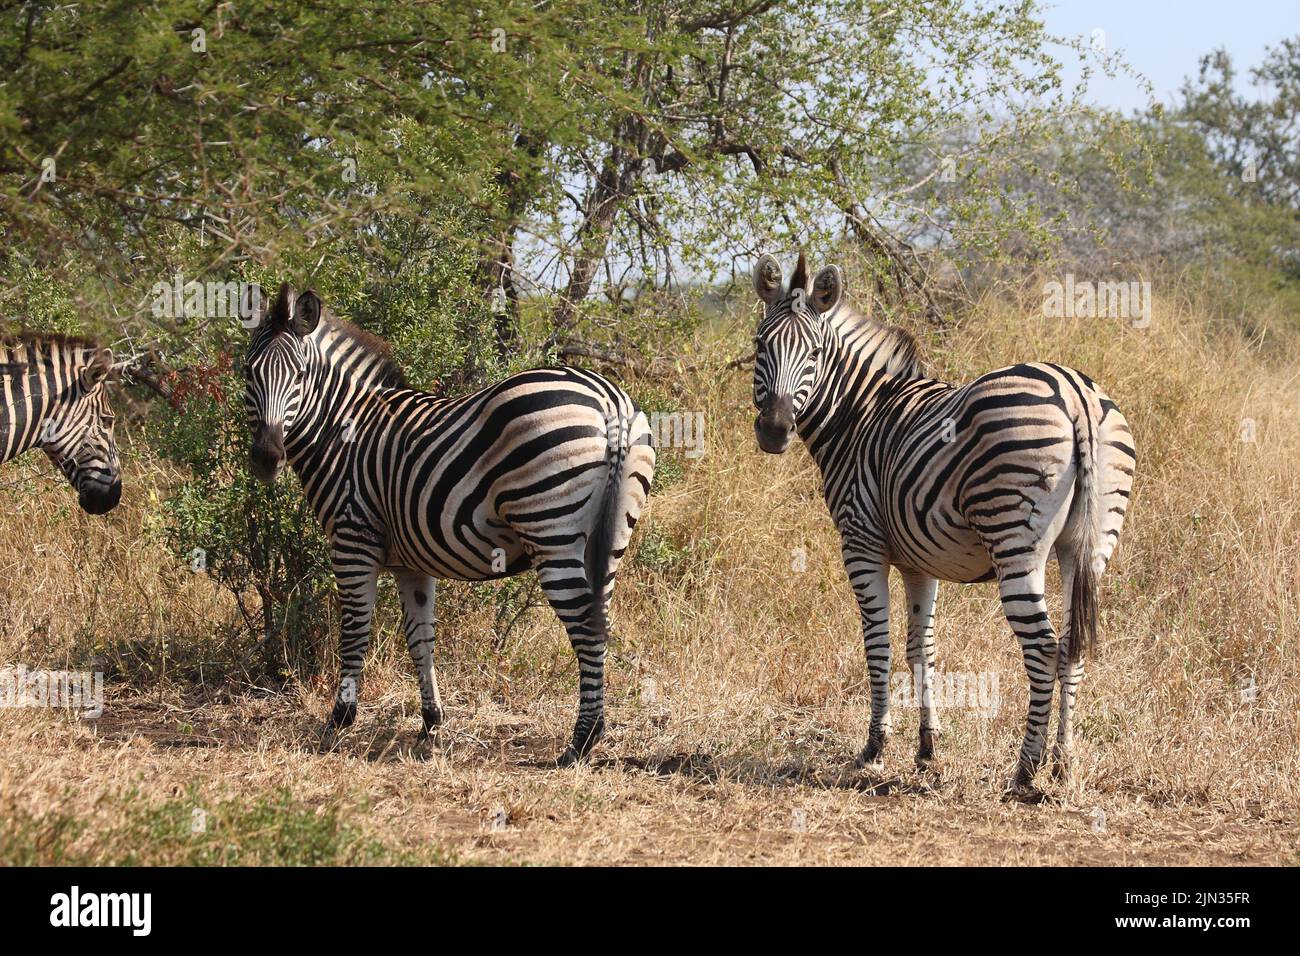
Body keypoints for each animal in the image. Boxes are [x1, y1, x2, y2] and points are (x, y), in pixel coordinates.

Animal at [243, 284, 655, 764]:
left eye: (300, 375)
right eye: (248, 373)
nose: (266, 459)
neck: (343, 433)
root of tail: (610, 400)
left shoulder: (352, 539)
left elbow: (354, 632)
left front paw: (338, 723)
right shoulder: (410, 562)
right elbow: (420, 639)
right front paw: (430, 724)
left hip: (552, 532)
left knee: (587, 628)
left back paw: (581, 741)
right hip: (610, 538)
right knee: (600, 620)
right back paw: (591, 734)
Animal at [751, 254, 1135, 796]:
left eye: (816, 353)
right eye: (760, 345)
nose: (774, 431)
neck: (860, 415)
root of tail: (1076, 391)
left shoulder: (862, 544)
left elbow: (878, 646)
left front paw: (874, 749)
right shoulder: (919, 561)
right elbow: (921, 649)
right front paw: (927, 749)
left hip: (1015, 540)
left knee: (1044, 648)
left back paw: (1025, 770)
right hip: (1090, 547)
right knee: (1072, 647)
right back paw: (1064, 762)